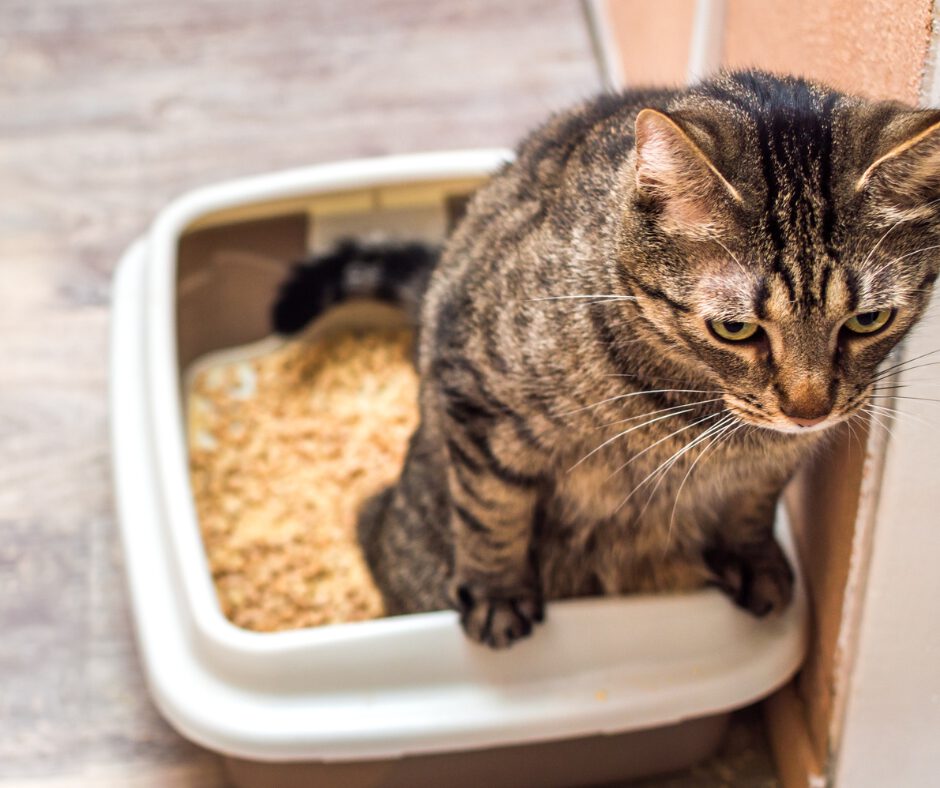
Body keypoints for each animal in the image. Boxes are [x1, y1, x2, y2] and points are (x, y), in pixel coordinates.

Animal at [272, 69, 940, 648]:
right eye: (734, 328)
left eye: (868, 321)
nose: (810, 411)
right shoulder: (479, 394)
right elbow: (491, 513)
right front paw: (497, 595)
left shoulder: (775, 464)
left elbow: (751, 506)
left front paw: (752, 560)